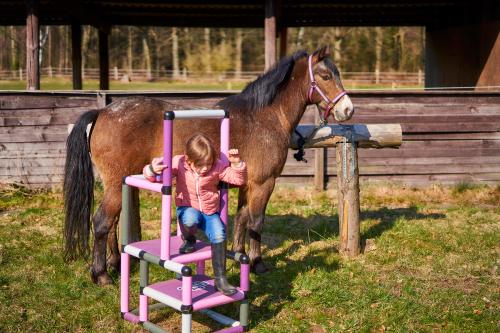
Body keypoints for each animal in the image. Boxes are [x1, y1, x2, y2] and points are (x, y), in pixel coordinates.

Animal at [64, 46, 356, 284]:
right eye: (326, 76)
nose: (348, 110)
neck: (264, 116)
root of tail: (103, 111)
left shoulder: (246, 183)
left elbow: (241, 219)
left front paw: (238, 255)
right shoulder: (264, 183)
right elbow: (256, 222)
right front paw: (258, 264)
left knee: (111, 223)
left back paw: (113, 265)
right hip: (116, 182)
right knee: (102, 221)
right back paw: (101, 274)